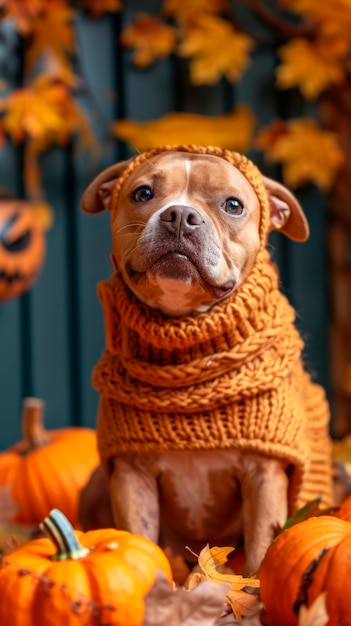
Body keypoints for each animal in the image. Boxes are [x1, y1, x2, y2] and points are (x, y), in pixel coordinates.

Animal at [81, 145, 334, 576]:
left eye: (233, 205)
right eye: (142, 194)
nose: (180, 216)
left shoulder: (264, 474)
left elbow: (263, 550)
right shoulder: (131, 475)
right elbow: (138, 537)